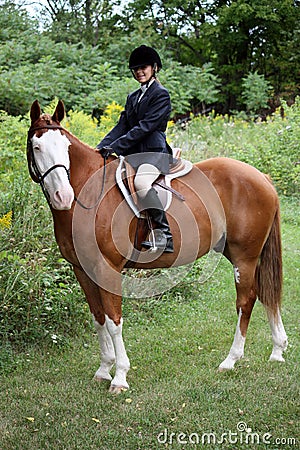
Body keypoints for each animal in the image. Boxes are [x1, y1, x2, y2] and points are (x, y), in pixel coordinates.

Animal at [27, 101, 288, 394]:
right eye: (37, 146)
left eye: (65, 147)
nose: (63, 197)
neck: (91, 193)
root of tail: (261, 176)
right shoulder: (82, 270)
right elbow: (98, 318)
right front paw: (104, 369)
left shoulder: (107, 269)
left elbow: (114, 321)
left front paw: (119, 377)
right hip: (238, 253)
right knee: (266, 293)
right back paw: (277, 350)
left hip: (245, 256)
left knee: (246, 300)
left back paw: (231, 360)